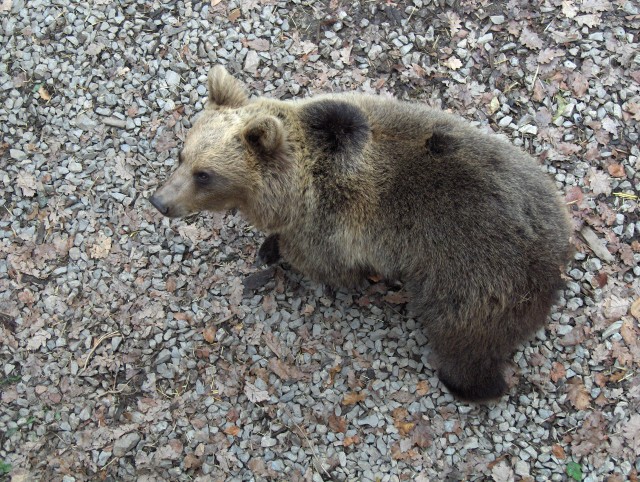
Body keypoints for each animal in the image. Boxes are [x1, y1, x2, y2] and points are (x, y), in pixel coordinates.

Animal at [151, 66, 576, 402]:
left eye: (204, 174)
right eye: (182, 156)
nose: (160, 201)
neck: (293, 187)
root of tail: (556, 251)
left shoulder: (330, 227)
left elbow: (321, 262)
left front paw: (275, 251)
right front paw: (267, 245)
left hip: (472, 279)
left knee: (466, 340)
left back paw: (468, 384)